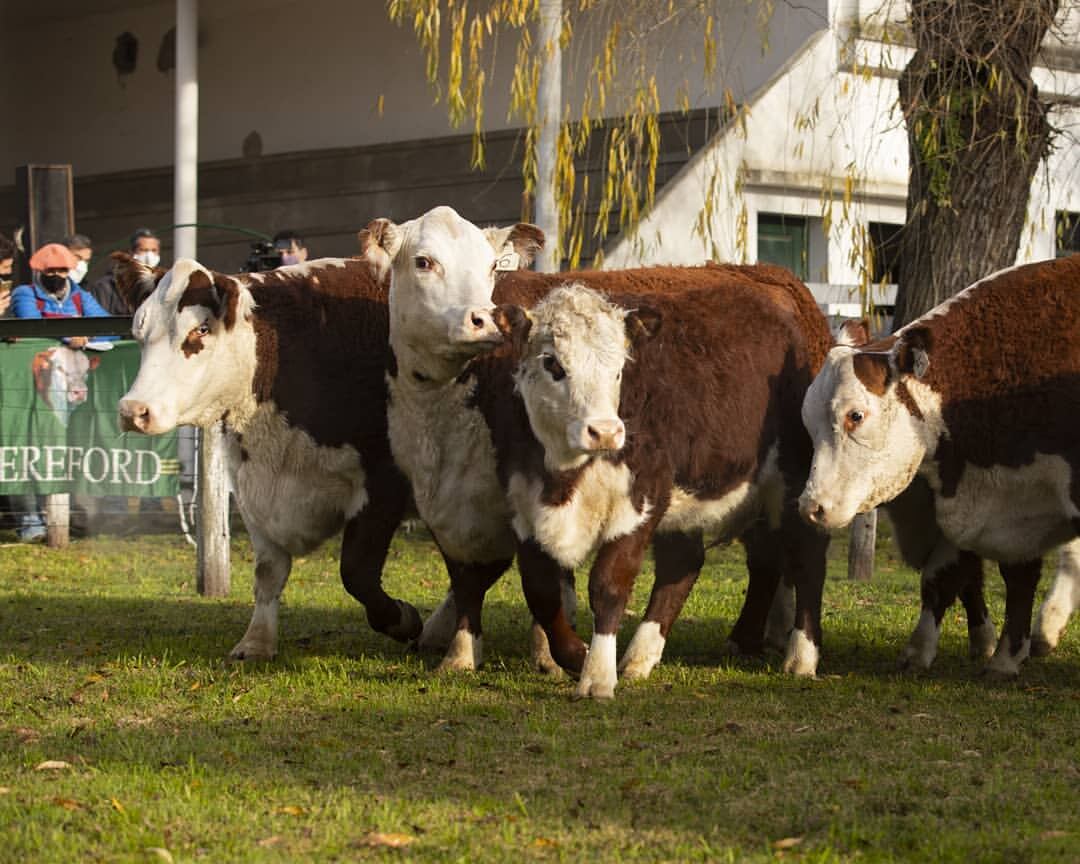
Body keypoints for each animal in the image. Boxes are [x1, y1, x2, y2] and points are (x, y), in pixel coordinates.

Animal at [358, 207, 829, 695]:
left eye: (492, 267)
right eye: (423, 261)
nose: (481, 320)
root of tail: (771, 278)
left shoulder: (624, 498)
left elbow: (592, 585)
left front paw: (576, 665)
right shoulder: (476, 506)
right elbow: (498, 583)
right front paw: (464, 655)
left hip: (795, 477)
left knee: (804, 553)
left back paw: (799, 655)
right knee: (714, 559)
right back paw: (668, 652)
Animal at [799, 254, 1080, 673]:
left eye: (855, 416)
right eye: (807, 421)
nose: (811, 506)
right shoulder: (1009, 504)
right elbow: (954, 575)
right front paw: (990, 655)